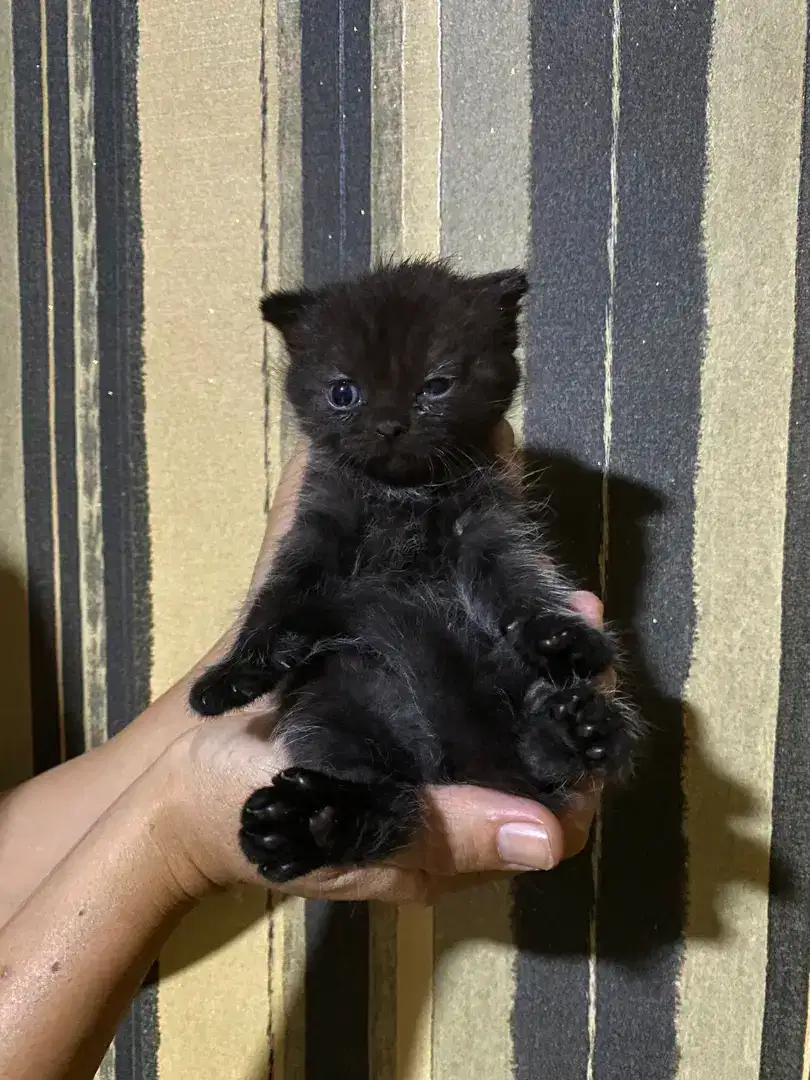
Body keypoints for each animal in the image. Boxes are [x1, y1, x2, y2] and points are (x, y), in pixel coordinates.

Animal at [192, 257, 639, 881]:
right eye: (343, 392)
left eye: (436, 386)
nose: (389, 425)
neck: (401, 495)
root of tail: (437, 760)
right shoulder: (317, 524)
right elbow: (278, 594)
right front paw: (237, 671)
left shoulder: (489, 522)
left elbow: (519, 580)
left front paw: (563, 634)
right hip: (332, 704)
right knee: (389, 802)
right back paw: (312, 823)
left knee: (536, 757)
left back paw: (576, 730)